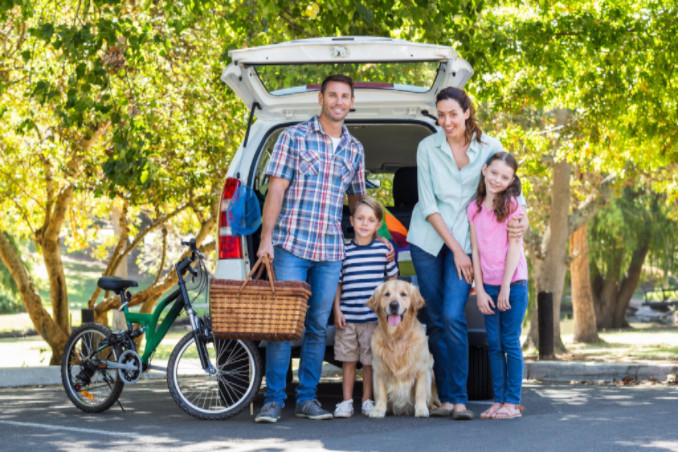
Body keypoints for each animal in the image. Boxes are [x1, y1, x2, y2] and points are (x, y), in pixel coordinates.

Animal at [366, 280, 440, 418]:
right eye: (386, 294)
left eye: (404, 294)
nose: (394, 304)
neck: (396, 337)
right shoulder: (379, 369)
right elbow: (381, 394)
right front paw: (378, 410)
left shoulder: (422, 369)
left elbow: (420, 392)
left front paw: (421, 410)